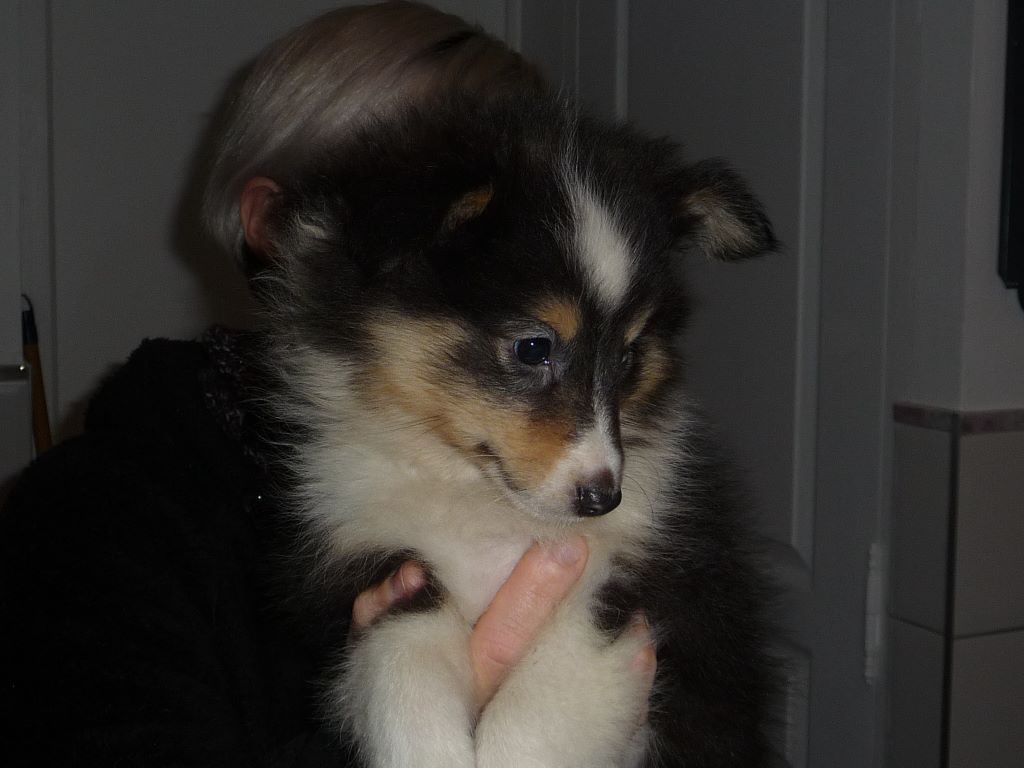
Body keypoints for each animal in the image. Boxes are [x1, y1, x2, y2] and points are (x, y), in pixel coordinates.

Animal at [256, 90, 779, 767]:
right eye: (534, 346)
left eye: (629, 355)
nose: (601, 499)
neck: (478, 503)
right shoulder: (376, 572)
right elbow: (402, 669)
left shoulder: (628, 594)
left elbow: (534, 725)